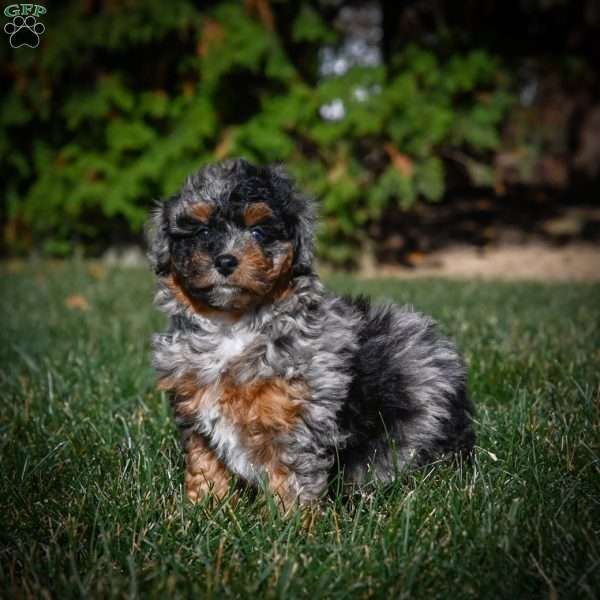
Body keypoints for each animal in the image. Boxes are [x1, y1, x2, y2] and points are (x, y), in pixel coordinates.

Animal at [148, 158, 476, 506]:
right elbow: (205, 467)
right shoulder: (197, 412)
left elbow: (291, 479)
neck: (233, 324)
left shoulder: (296, 419)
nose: (225, 261)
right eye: (203, 230)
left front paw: (288, 520)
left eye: (258, 230)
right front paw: (205, 508)